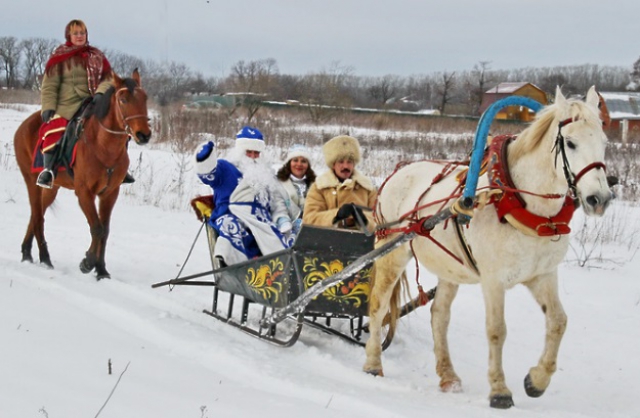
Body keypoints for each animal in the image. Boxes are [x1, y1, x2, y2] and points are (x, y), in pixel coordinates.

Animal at [14, 68, 152, 280]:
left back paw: (27, 253)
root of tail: (23, 126)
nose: (143, 135)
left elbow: (105, 230)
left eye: (144, 98)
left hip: (52, 188)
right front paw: (87, 262)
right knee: (37, 217)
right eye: (123, 100)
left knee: (36, 214)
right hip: (31, 181)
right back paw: (44, 258)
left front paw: (102, 271)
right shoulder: (84, 193)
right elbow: (97, 228)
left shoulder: (110, 194)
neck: (103, 146)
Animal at [362, 85, 612, 408]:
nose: (599, 199)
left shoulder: (542, 275)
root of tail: (399, 171)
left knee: (439, 316)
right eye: (570, 143)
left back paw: (448, 376)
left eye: (604, 142)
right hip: (392, 251)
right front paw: (499, 390)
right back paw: (372, 364)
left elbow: (558, 322)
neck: (518, 202)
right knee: (379, 306)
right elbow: (496, 330)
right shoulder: (493, 280)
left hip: (449, 267)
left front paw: (537, 380)